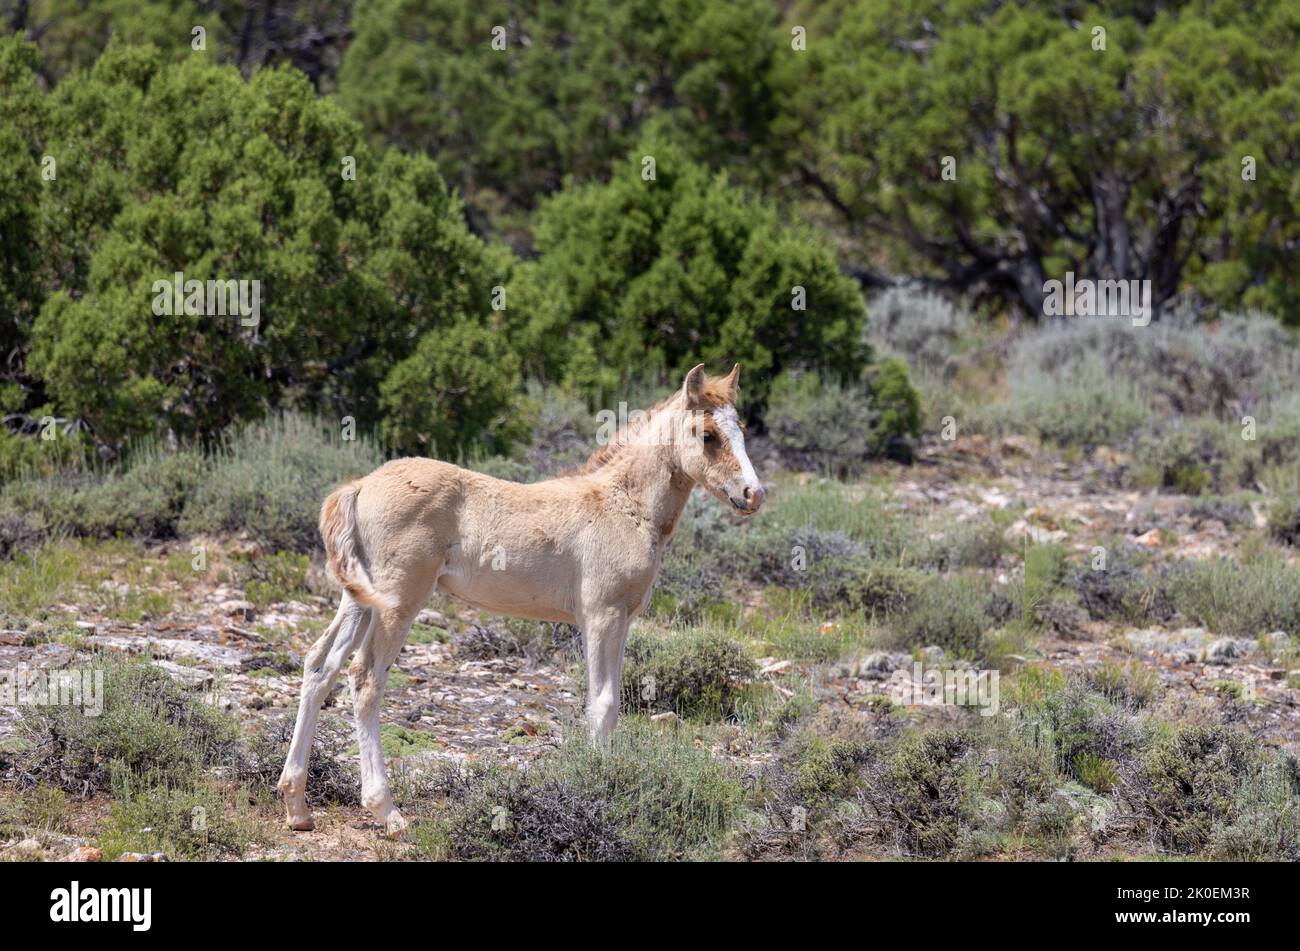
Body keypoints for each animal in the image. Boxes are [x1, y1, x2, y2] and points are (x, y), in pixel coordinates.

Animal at [273, 363, 759, 831]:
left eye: (741, 429)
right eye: (709, 434)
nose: (753, 494)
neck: (624, 506)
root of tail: (359, 485)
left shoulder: (620, 619)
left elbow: (607, 703)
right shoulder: (602, 615)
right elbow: (603, 705)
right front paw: (599, 788)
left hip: (359, 599)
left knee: (320, 666)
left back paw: (297, 806)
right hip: (398, 600)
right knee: (365, 679)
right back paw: (386, 812)